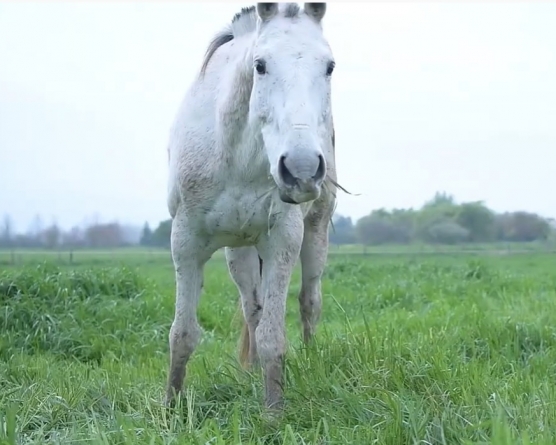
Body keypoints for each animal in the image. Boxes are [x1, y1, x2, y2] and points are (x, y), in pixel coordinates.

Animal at [165, 1, 338, 410]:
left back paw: (310, 360)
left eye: (329, 67)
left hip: (316, 231)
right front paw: (170, 409)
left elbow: (274, 336)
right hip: (237, 250)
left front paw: (273, 413)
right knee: (253, 307)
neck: (235, 158)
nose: (302, 169)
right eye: (260, 65)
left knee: (309, 301)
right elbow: (183, 333)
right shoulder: (185, 242)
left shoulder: (283, 241)